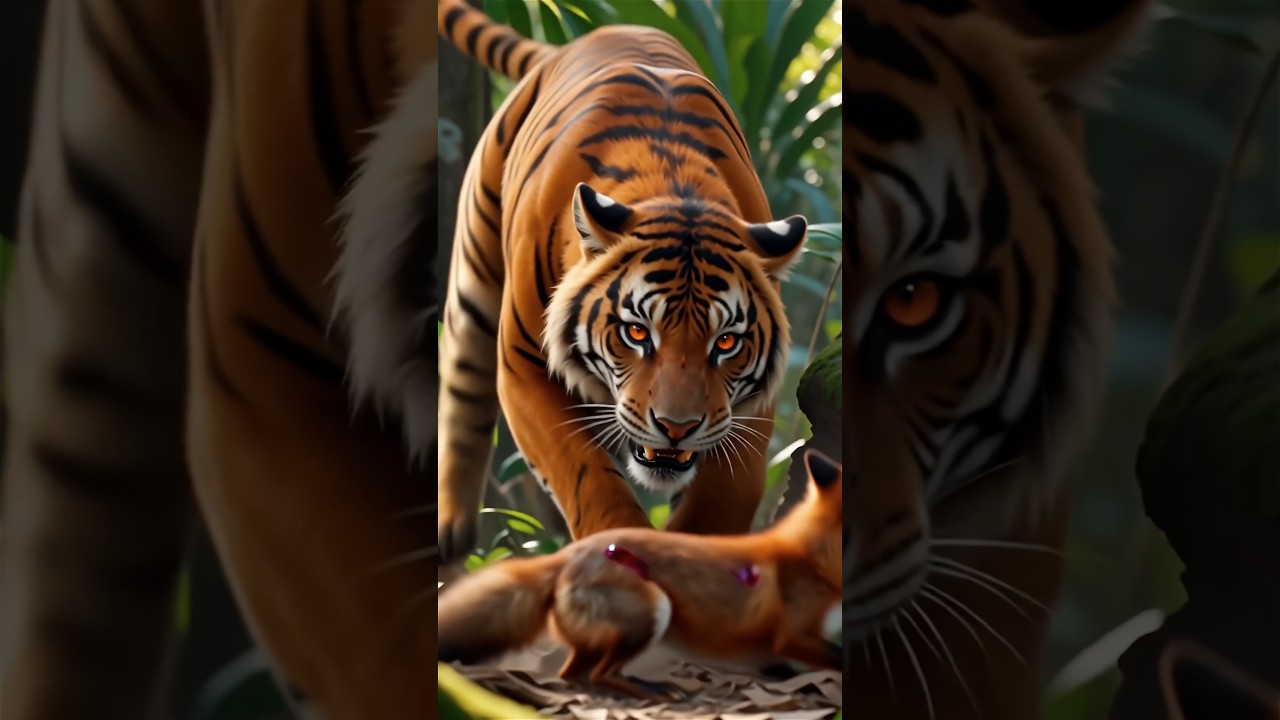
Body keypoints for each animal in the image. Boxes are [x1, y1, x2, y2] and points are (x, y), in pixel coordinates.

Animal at [435, 0, 809, 564]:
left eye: (726, 342)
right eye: (637, 332)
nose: (677, 429)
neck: (673, 186)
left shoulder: (750, 406)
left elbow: (729, 491)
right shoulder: (522, 365)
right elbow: (587, 479)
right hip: (474, 275)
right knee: (461, 392)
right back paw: (452, 534)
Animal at [436, 448, 843, 698]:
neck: (818, 556)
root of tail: (566, 555)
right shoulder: (793, 636)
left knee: (572, 675)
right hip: (651, 612)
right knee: (595, 674)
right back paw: (652, 691)